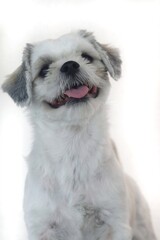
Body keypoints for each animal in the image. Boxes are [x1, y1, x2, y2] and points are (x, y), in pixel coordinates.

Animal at [1, 30, 157, 240]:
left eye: (86, 57)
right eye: (44, 69)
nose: (69, 65)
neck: (73, 145)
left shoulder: (115, 221)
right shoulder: (42, 226)